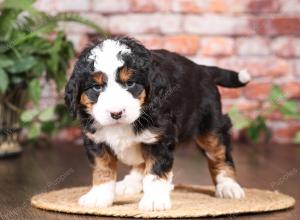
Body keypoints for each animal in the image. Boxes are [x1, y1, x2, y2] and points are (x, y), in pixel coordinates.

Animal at [64, 36, 250, 211]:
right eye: (96, 87)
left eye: (130, 83)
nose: (116, 113)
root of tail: (202, 69)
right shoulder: (96, 140)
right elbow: (103, 169)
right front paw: (99, 195)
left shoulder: (159, 139)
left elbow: (155, 172)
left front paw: (154, 200)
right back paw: (130, 183)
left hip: (210, 126)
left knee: (219, 154)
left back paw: (228, 186)